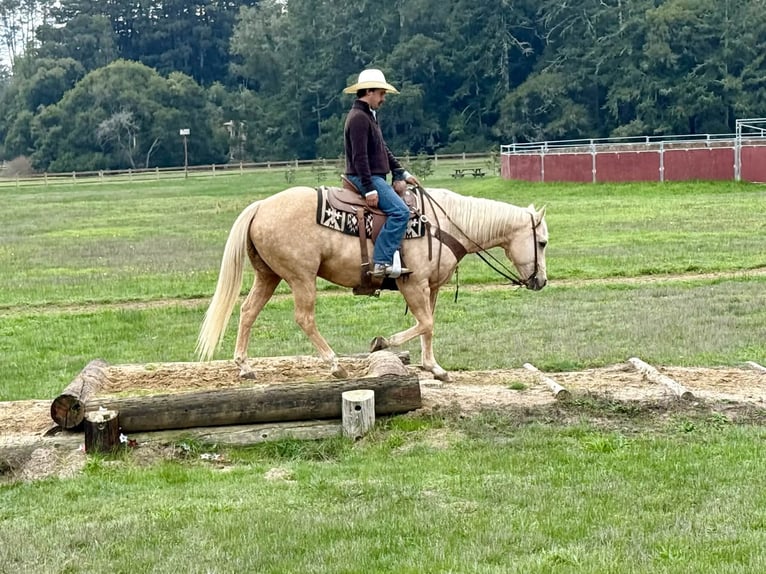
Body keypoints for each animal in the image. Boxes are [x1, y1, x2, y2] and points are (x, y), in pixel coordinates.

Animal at [196, 185, 548, 381]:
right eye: (542, 243)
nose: (541, 281)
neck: (444, 225)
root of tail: (260, 207)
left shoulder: (430, 287)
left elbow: (429, 326)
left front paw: (433, 367)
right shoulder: (413, 284)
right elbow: (425, 324)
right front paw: (382, 342)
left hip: (269, 275)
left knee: (247, 311)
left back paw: (244, 367)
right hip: (301, 277)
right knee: (304, 318)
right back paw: (335, 365)